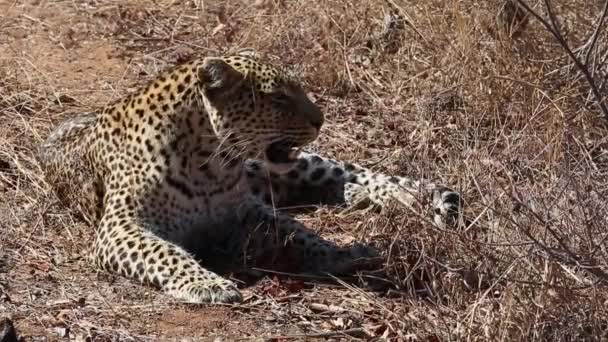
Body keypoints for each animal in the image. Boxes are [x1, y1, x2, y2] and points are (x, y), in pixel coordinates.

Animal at [38, 52, 460, 304]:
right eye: (278, 97)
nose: (321, 119)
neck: (209, 163)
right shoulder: (121, 228)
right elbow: (166, 252)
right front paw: (208, 283)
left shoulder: (246, 214)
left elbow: (298, 233)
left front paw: (341, 253)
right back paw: (362, 197)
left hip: (290, 166)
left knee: (351, 172)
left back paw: (411, 198)